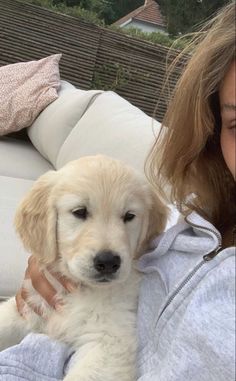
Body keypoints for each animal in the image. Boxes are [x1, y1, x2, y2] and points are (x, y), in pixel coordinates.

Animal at [0, 154, 168, 380]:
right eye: (79, 212)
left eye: (129, 216)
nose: (108, 262)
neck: (78, 290)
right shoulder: (31, 305)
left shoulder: (109, 341)